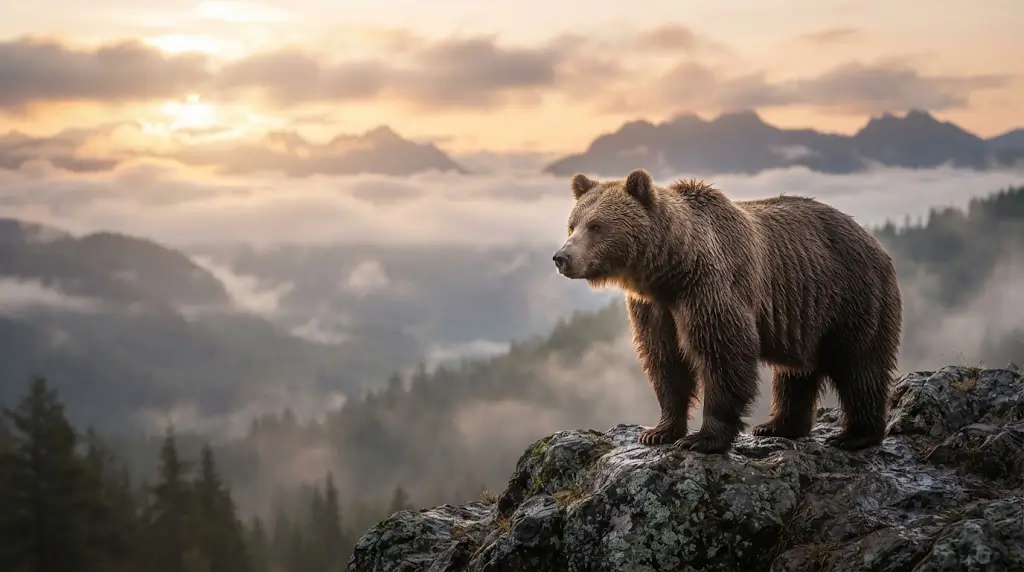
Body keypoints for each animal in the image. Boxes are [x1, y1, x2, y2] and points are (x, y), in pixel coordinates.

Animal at [552, 168, 903, 454]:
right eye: (572, 225)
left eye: (596, 225)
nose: (561, 257)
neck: (671, 269)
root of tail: (873, 240)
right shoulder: (654, 308)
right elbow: (665, 360)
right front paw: (658, 431)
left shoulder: (710, 286)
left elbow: (723, 352)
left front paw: (702, 438)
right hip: (805, 314)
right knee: (795, 373)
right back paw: (778, 425)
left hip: (852, 296)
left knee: (860, 364)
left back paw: (856, 434)